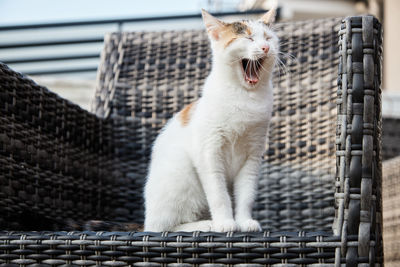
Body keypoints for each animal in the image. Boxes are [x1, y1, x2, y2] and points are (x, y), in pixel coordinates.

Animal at [144, 8, 278, 232]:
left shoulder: (252, 156)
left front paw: (244, 221)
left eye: (268, 38)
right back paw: (205, 224)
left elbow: (246, 195)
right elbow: (219, 195)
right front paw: (225, 223)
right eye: (248, 38)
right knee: (166, 227)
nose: (265, 47)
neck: (244, 97)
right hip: (182, 176)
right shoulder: (209, 152)